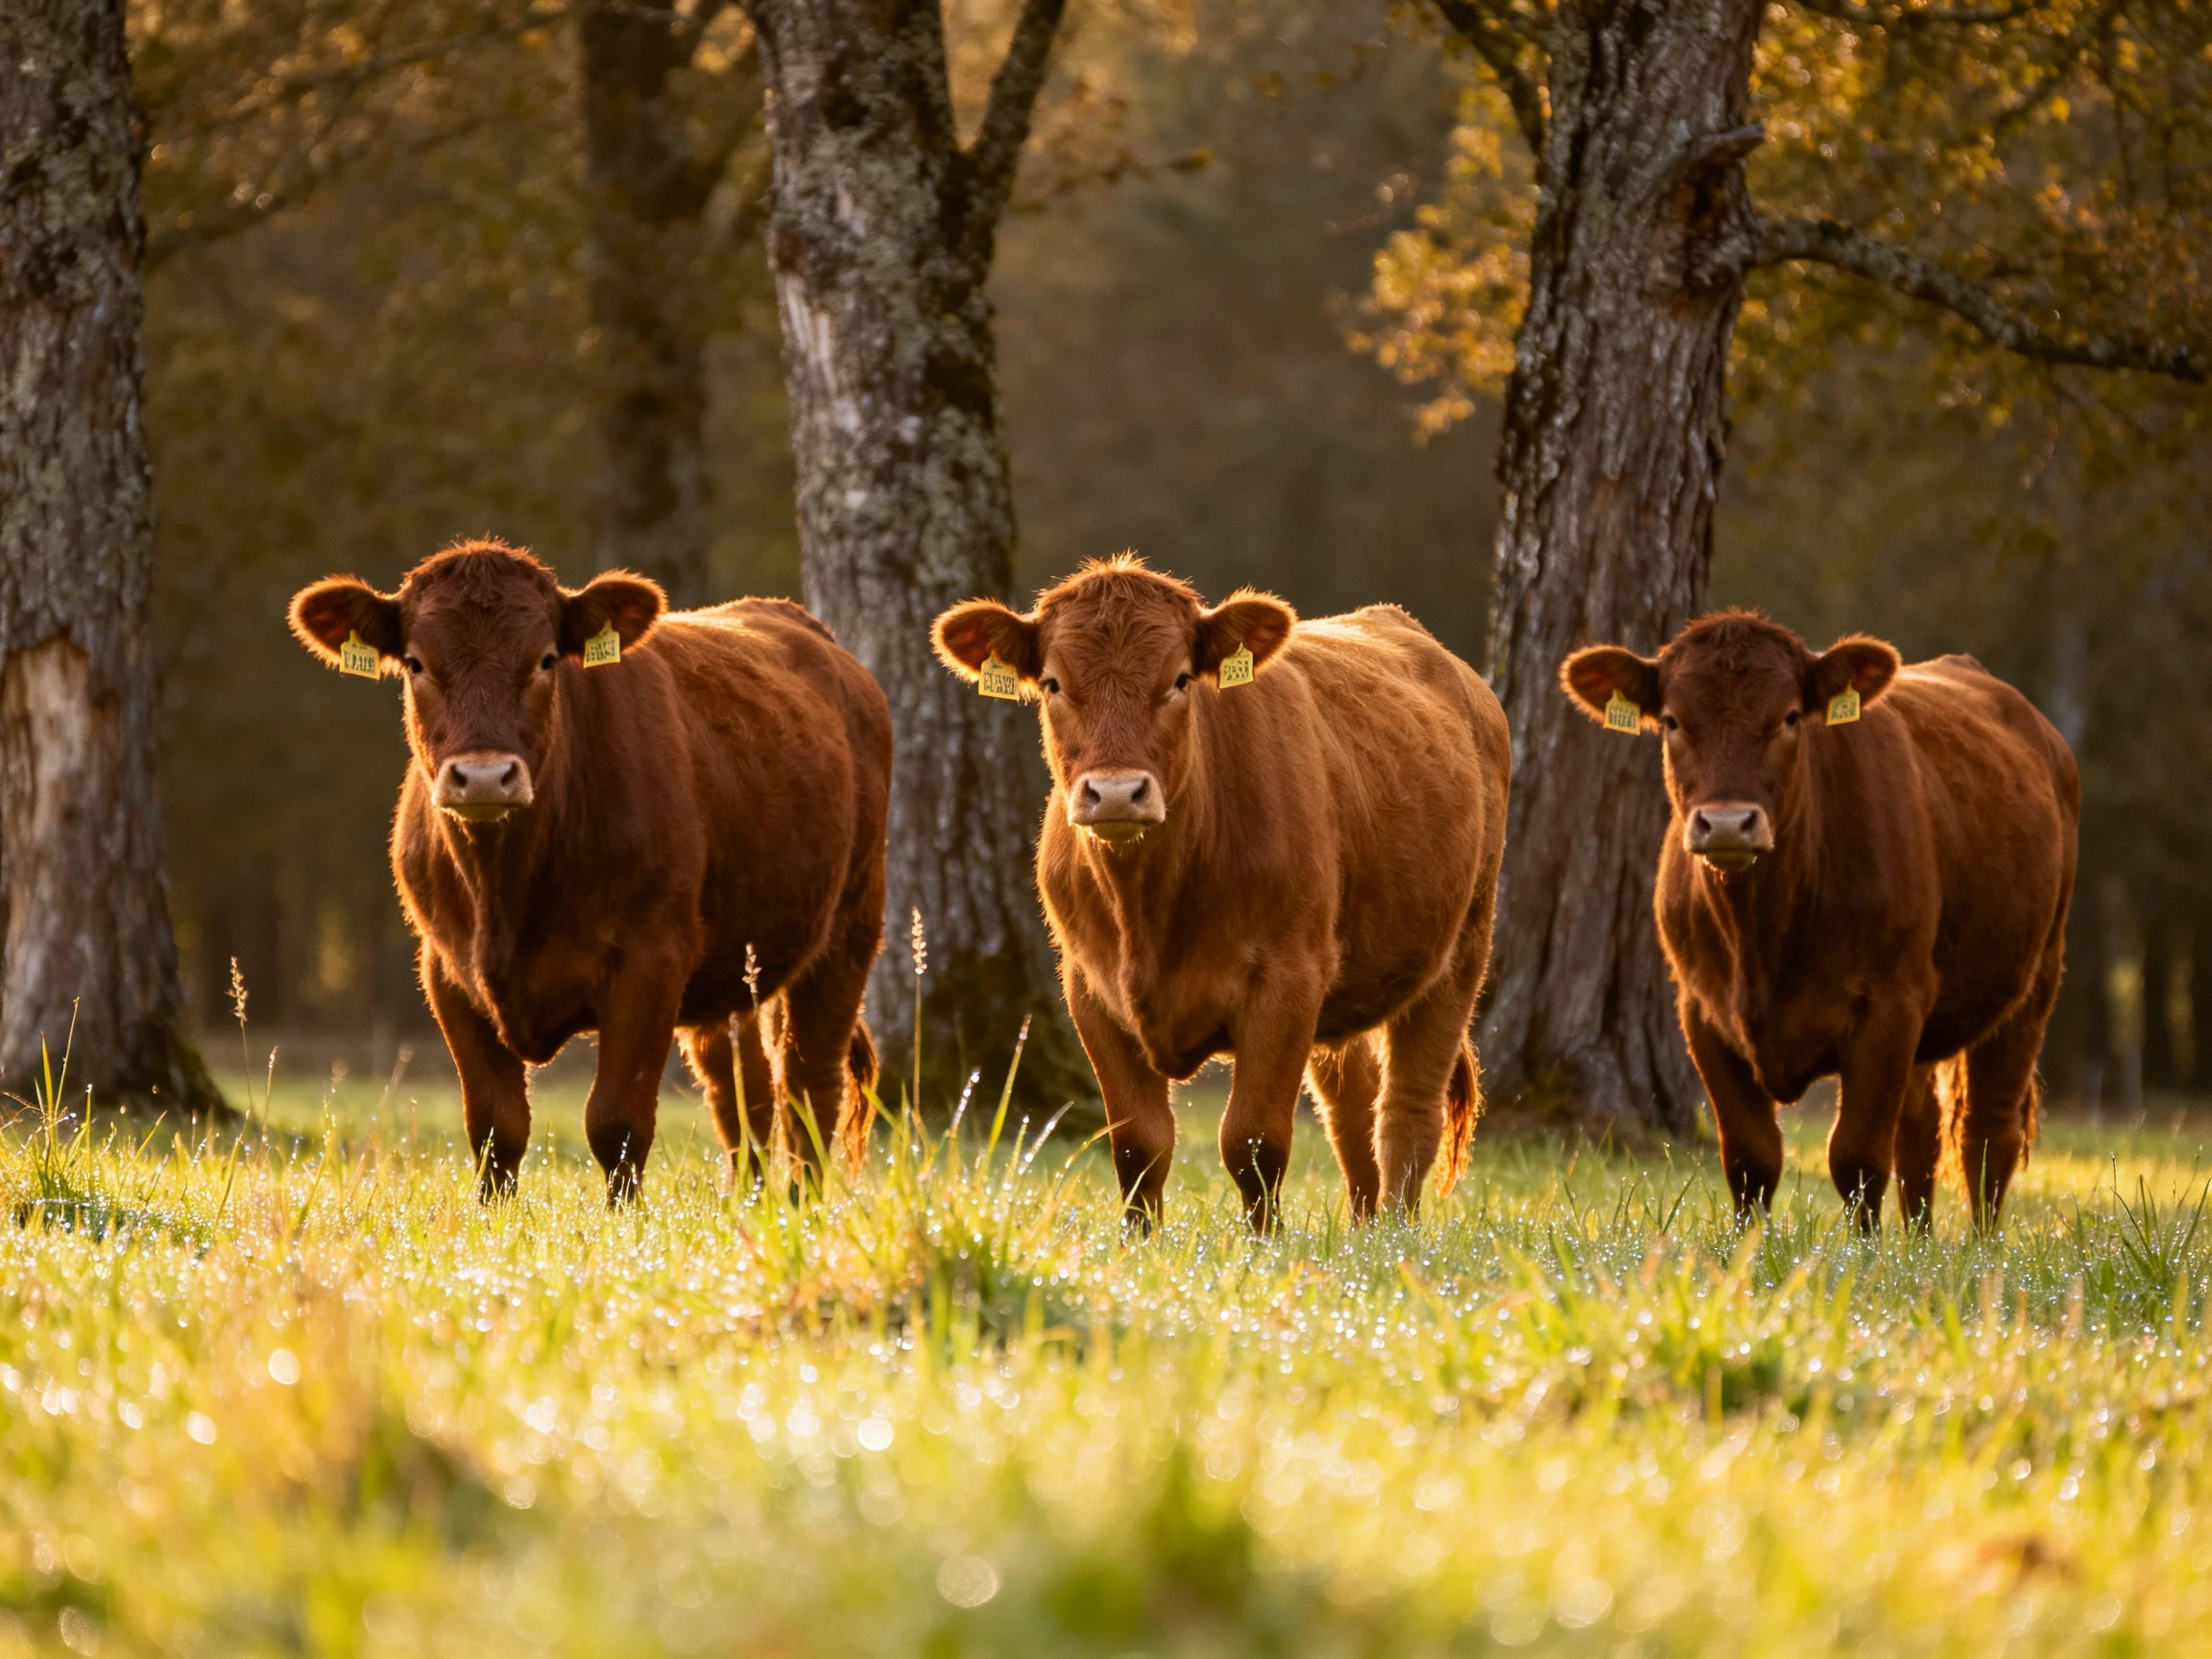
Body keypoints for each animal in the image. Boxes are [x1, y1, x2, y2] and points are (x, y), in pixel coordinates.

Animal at [288, 539, 891, 1203]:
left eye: (547, 659)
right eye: (417, 663)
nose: (483, 777)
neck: (505, 893)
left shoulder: (650, 958)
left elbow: (616, 1122)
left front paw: (626, 1219)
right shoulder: (445, 969)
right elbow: (495, 1126)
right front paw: (495, 1219)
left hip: (850, 926)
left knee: (809, 1083)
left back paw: (800, 1207)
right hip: (738, 964)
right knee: (742, 1090)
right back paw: (749, 1205)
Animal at [932, 556, 1511, 1232]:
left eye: (1181, 679)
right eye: (1051, 683)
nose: (1117, 792)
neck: (1149, 911)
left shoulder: (1288, 978)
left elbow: (1253, 1141)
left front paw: (1265, 1245)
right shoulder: (1088, 988)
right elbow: (1138, 1145)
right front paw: (1140, 1246)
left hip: (1463, 944)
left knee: (1407, 1110)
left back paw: (1395, 1234)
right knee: (1351, 1108)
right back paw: (1365, 1232)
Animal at [1561, 611, 2079, 1230]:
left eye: (1789, 717)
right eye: (1671, 721)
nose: (1728, 823)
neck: (1762, 936)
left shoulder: (1889, 1003)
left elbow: (1857, 1156)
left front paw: (1865, 1252)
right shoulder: (1701, 1010)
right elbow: (1751, 1158)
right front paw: (1749, 1249)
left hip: (2035, 979)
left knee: (1986, 1134)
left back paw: (1982, 1247)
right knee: (1921, 1130)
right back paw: (1922, 1241)